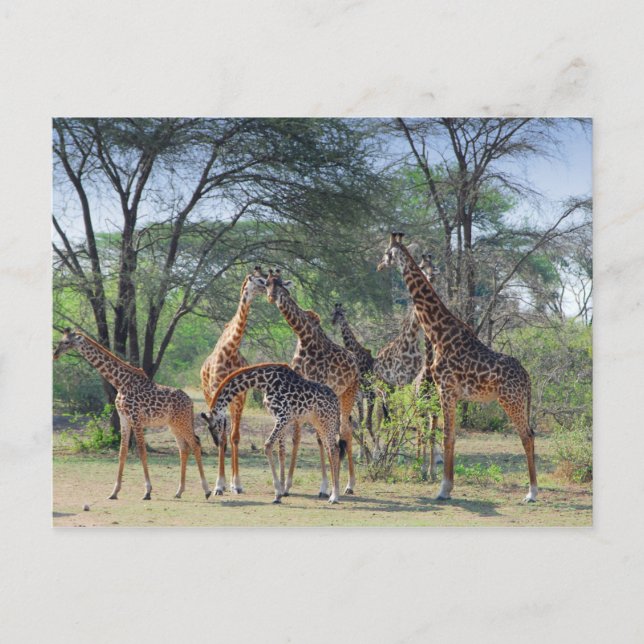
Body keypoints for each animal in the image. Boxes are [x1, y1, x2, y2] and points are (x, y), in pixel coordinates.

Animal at [53, 329, 212, 500]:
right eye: (61, 340)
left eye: (66, 342)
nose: (55, 354)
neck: (120, 383)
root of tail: (190, 402)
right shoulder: (124, 418)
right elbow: (122, 452)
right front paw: (114, 492)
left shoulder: (136, 418)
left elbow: (141, 451)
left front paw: (147, 491)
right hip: (174, 424)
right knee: (183, 448)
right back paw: (179, 491)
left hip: (182, 421)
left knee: (195, 444)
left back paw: (207, 490)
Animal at [200, 267, 266, 495]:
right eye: (259, 280)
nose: (270, 286)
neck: (230, 350)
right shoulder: (217, 394)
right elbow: (222, 437)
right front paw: (219, 485)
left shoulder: (240, 397)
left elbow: (235, 437)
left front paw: (236, 484)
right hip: (209, 396)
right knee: (222, 435)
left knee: (229, 435)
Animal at [201, 363, 346, 504]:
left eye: (213, 426)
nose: (218, 442)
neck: (265, 383)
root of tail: (337, 401)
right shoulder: (279, 419)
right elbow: (281, 452)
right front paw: (280, 491)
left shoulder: (283, 417)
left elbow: (268, 446)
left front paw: (278, 493)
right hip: (319, 424)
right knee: (332, 450)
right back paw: (330, 492)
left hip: (328, 422)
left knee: (334, 450)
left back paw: (334, 496)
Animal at [258, 269, 360, 496]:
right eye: (266, 283)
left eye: (280, 284)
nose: (271, 297)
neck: (304, 337)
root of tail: (355, 361)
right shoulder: (298, 393)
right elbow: (296, 437)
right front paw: (286, 485)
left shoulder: (316, 388)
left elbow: (320, 438)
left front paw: (325, 487)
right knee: (343, 429)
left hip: (348, 393)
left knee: (345, 431)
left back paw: (349, 485)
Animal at [377, 233, 538, 502]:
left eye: (386, 253)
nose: (378, 266)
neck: (438, 332)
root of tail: (527, 378)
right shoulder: (449, 393)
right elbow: (450, 436)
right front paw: (446, 486)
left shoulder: (446, 390)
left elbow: (446, 437)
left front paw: (443, 489)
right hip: (517, 401)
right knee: (531, 433)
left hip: (510, 400)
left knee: (526, 435)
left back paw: (532, 492)